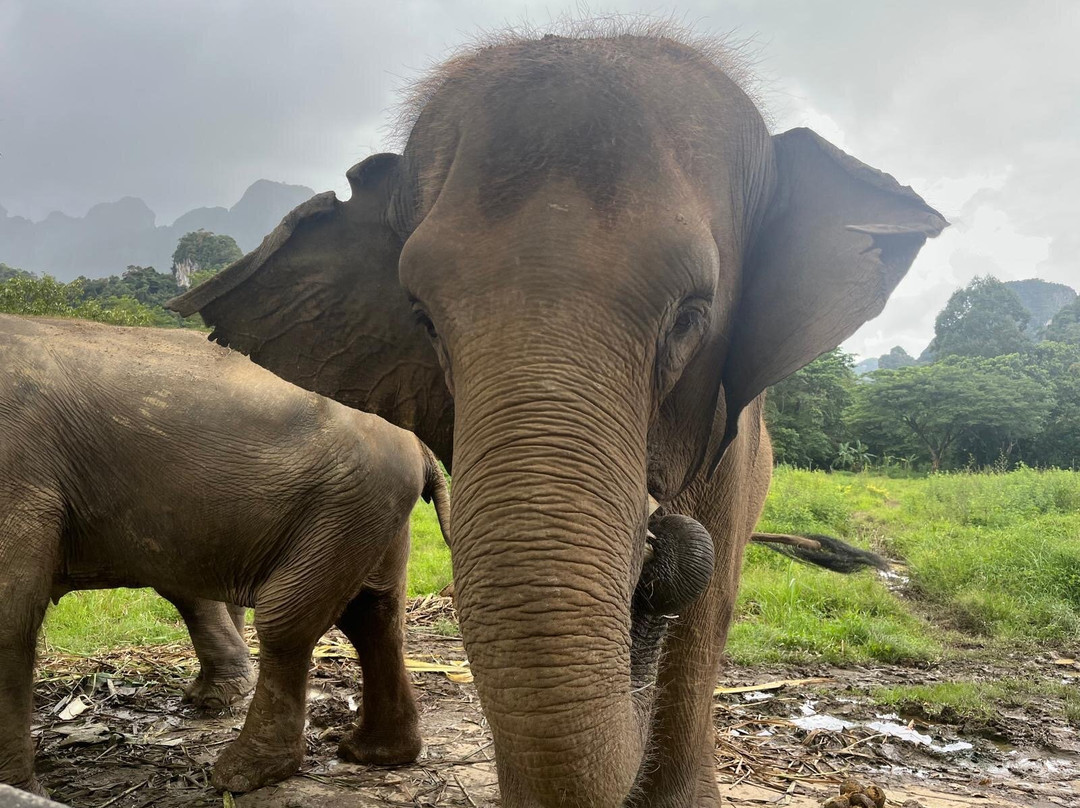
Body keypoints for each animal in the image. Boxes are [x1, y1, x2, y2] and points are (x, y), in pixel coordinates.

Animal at [0, 314, 451, 795]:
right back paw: (374, 754)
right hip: (370, 508)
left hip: (347, 503)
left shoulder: (18, 475)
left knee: (287, 619)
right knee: (373, 614)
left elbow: (10, 615)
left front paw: (18, 792)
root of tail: (418, 442)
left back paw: (241, 774)